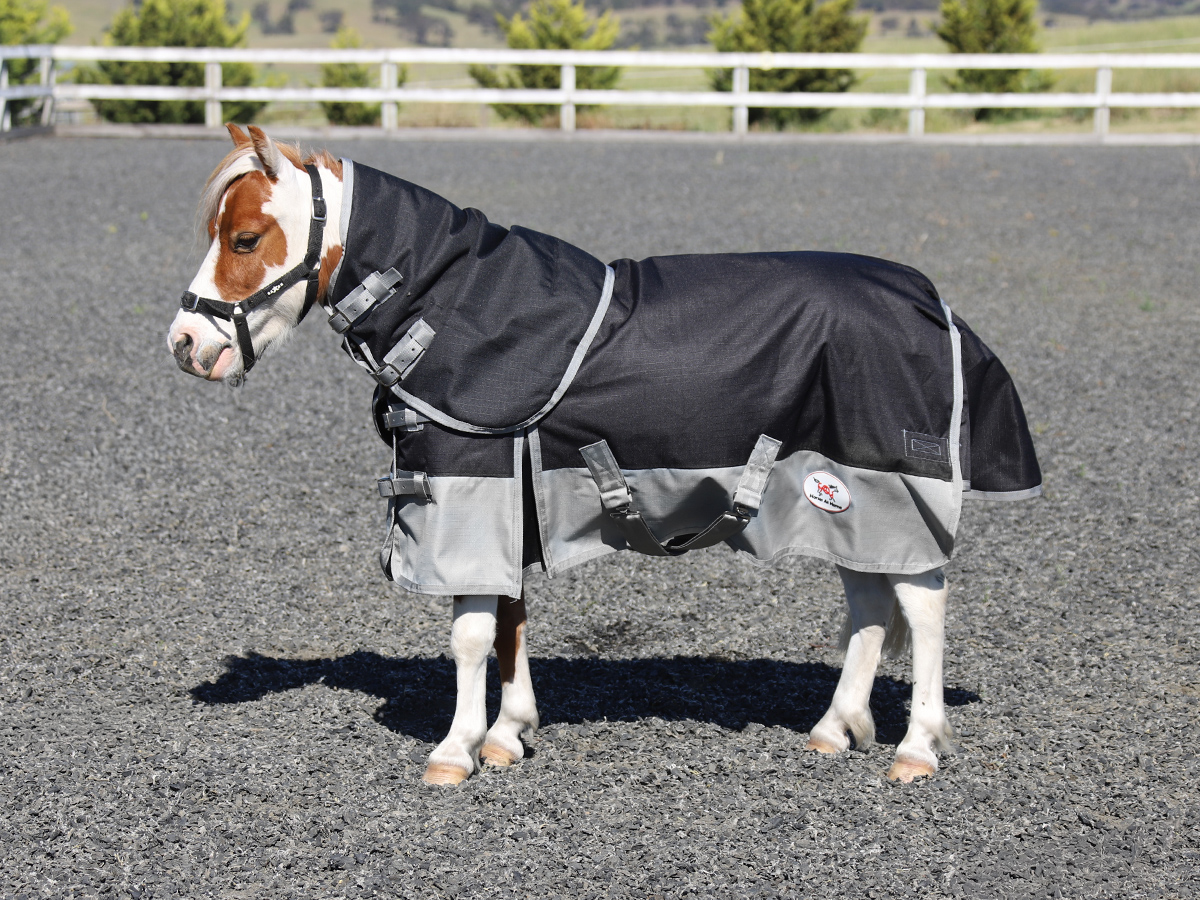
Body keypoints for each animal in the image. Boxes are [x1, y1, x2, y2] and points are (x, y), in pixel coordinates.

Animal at [168, 125, 1041, 786]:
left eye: (245, 237)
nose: (184, 345)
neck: (454, 304)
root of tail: (933, 302)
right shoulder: (507, 493)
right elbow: (510, 619)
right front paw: (507, 735)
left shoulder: (472, 485)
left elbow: (471, 634)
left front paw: (455, 750)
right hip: (845, 496)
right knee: (867, 605)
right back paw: (835, 727)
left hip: (893, 491)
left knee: (920, 606)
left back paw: (916, 749)